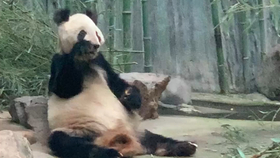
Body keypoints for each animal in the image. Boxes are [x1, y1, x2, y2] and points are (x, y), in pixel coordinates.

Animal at [47, 8, 197, 158]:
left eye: (97, 33)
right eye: (82, 33)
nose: (95, 45)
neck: (87, 61)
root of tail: (117, 139)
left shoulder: (100, 62)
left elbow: (116, 82)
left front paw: (130, 96)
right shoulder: (59, 61)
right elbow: (64, 88)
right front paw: (81, 48)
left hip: (135, 130)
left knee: (153, 138)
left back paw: (185, 146)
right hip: (77, 130)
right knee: (66, 142)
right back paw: (109, 153)